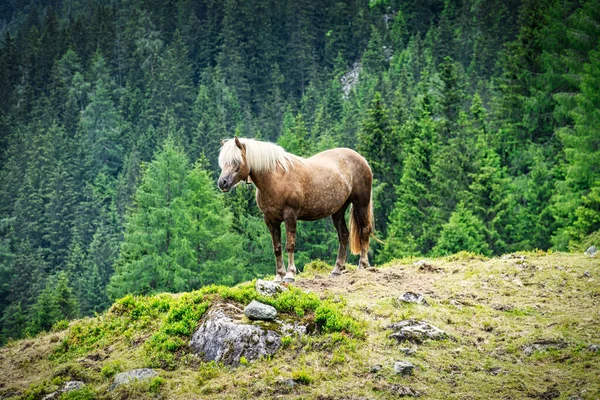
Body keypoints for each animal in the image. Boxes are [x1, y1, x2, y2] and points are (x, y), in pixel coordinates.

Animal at [218, 138, 372, 284]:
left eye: (236, 161)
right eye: (223, 162)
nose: (222, 183)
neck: (276, 179)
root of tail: (362, 159)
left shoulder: (290, 215)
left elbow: (290, 245)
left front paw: (290, 274)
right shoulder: (270, 220)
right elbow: (277, 248)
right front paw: (279, 275)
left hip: (361, 204)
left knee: (364, 230)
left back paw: (362, 264)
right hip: (338, 210)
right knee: (343, 235)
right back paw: (337, 269)